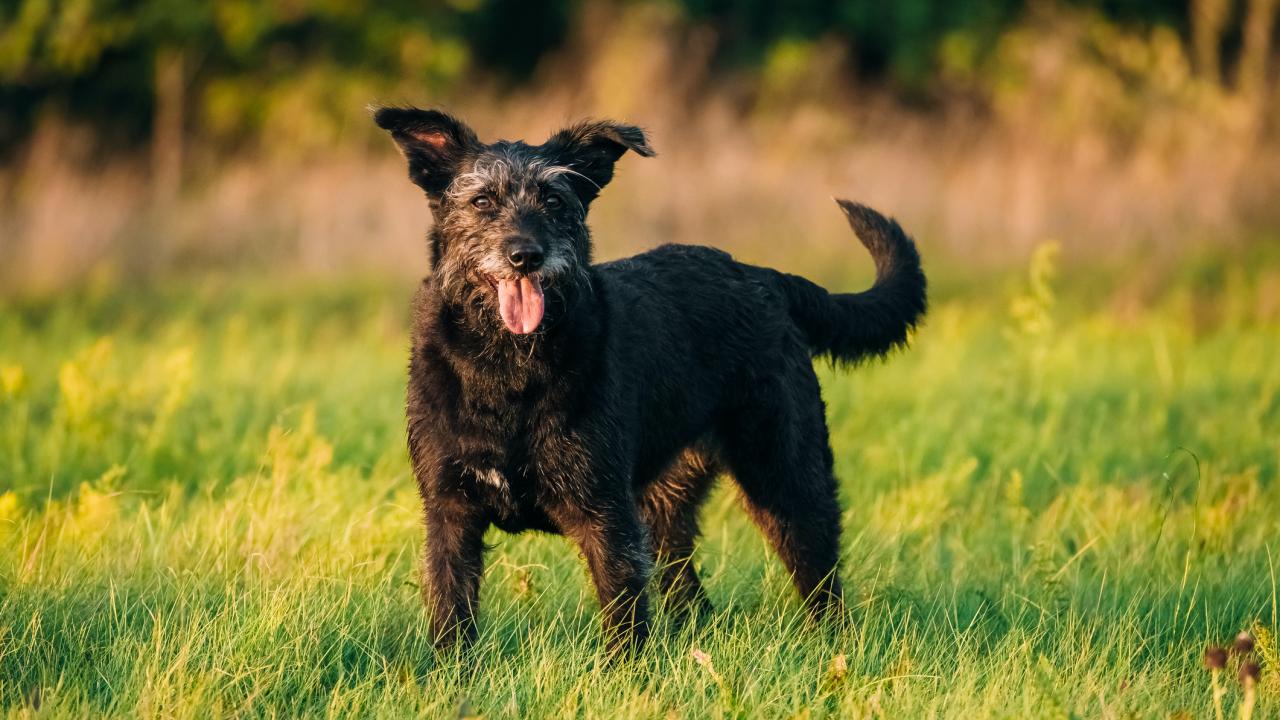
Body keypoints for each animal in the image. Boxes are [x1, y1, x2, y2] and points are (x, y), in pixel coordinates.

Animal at [373, 106, 926, 650]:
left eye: (554, 200)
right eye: (482, 200)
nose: (525, 255)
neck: (508, 368)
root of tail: (764, 276)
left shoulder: (606, 513)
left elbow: (623, 612)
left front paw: (624, 671)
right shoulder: (450, 513)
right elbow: (452, 613)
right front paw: (452, 671)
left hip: (787, 475)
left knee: (819, 576)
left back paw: (833, 648)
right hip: (668, 501)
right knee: (687, 585)